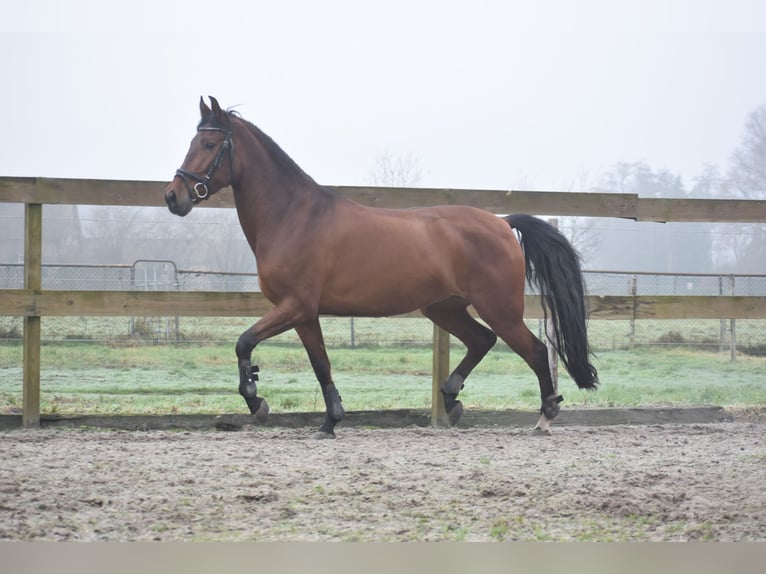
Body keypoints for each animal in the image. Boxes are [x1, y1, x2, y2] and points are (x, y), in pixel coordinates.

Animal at [165, 97, 600, 438]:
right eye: (191, 142)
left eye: (208, 143)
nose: (173, 196)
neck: (293, 216)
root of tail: (502, 222)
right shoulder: (305, 314)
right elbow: (320, 364)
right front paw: (330, 421)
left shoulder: (294, 306)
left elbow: (244, 343)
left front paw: (258, 403)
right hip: (443, 308)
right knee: (482, 340)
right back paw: (452, 398)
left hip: (499, 309)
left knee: (535, 350)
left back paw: (545, 416)